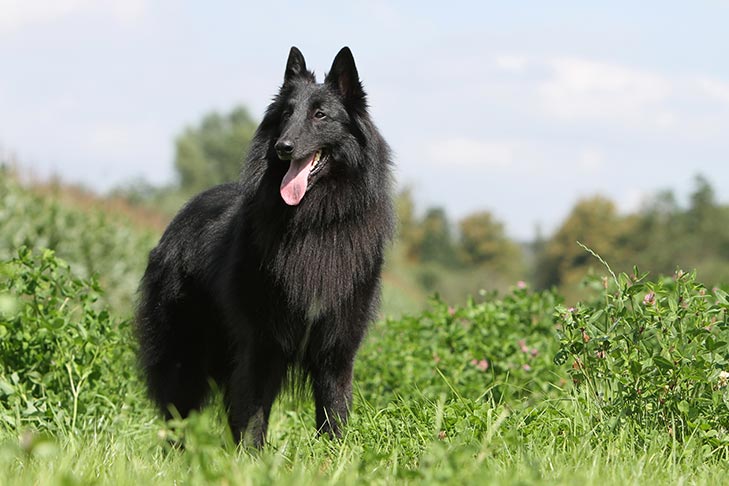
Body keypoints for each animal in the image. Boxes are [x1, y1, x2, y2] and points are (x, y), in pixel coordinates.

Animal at [134, 47, 396, 446]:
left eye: (320, 115)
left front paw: (334, 455)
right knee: (178, 414)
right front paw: (252, 457)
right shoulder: (261, 344)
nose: (283, 147)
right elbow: (254, 416)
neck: (312, 225)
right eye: (286, 113)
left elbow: (333, 412)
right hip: (184, 355)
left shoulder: (337, 348)